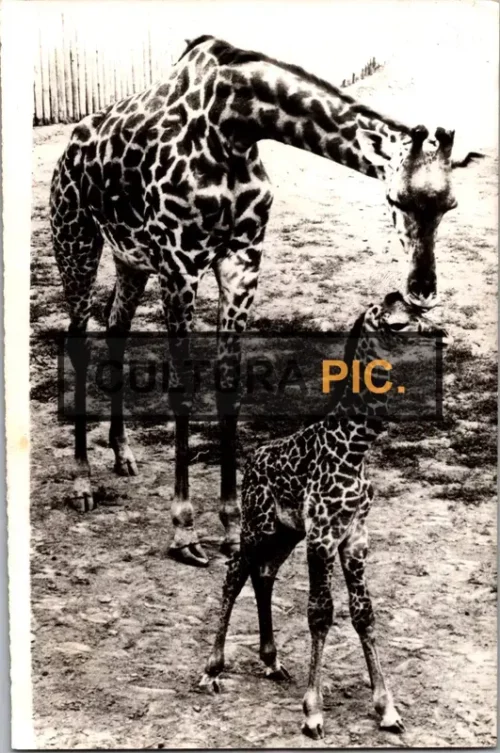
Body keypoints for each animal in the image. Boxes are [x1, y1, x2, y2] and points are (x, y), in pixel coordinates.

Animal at [50, 35, 481, 567]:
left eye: (450, 205)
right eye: (395, 199)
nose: (421, 288)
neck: (235, 125)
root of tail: (70, 144)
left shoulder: (243, 259)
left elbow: (229, 385)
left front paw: (233, 527)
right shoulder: (181, 264)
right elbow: (182, 389)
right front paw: (184, 530)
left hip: (131, 258)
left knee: (115, 329)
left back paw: (123, 454)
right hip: (77, 242)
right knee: (78, 338)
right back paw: (82, 484)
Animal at [200, 290, 446, 739]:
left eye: (421, 314)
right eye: (399, 323)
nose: (441, 336)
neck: (354, 448)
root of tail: (253, 459)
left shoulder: (354, 537)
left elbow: (364, 614)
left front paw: (387, 709)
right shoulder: (322, 537)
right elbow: (320, 613)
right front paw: (313, 713)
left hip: (284, 532)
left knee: (263, 575)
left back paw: (272, 661)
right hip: (257, 525)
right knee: (234, 575)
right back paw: (212, 671)